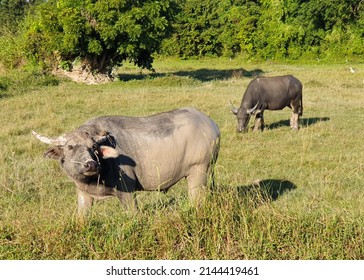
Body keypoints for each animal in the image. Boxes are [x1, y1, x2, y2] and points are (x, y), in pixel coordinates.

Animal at [34, 106, 220, 214]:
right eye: (70, 147)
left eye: (93, 147)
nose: (91, 164)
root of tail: (211, 125)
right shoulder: (83, 194)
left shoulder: (127, 191)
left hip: (199, 171)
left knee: (196, 199)